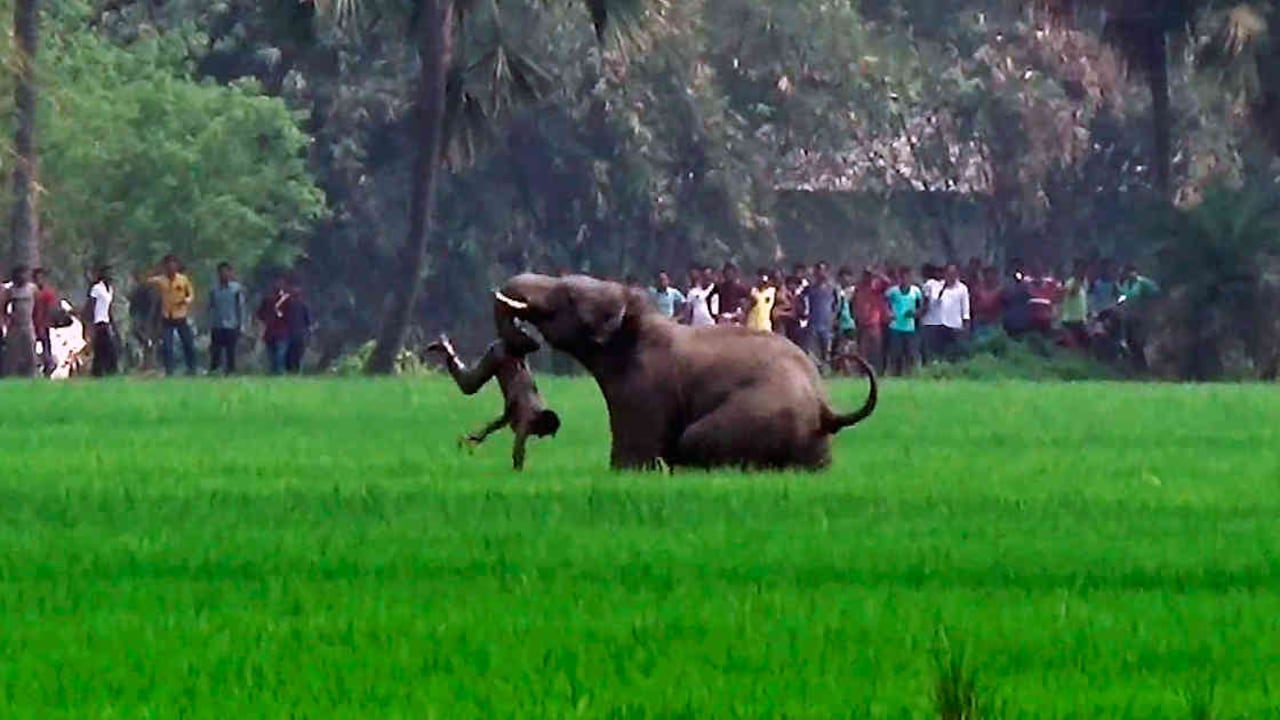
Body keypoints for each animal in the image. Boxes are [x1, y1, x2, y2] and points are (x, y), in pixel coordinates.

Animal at [493, 273, 877, 471]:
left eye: (568, 296)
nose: (525, 342)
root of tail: (826, 410)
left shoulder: (645, 388)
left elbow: (634, 455)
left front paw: (628, 470)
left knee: (694, 439)